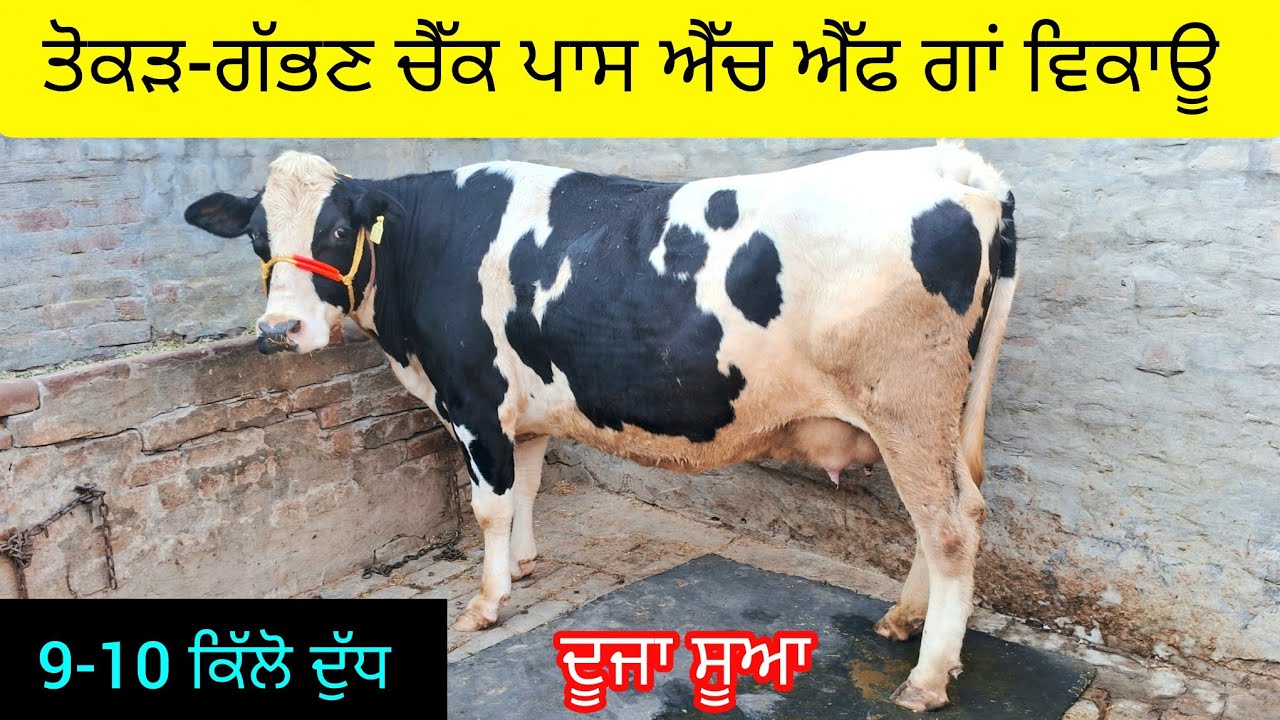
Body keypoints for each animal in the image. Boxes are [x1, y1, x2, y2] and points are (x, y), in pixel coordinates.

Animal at [184, 141, 1018, 712]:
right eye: (258, 238)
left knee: (948, 527)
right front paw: (523, 566)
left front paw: (487, 601)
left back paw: (927, 676)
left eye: (334, 232)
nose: (279, 331)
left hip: (908, 404)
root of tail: (952, 165)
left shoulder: (473, 401)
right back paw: (905, 620)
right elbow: (525, 487)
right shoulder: (523, 409)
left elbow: (490, 504)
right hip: (931, 417)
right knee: (950, 514)